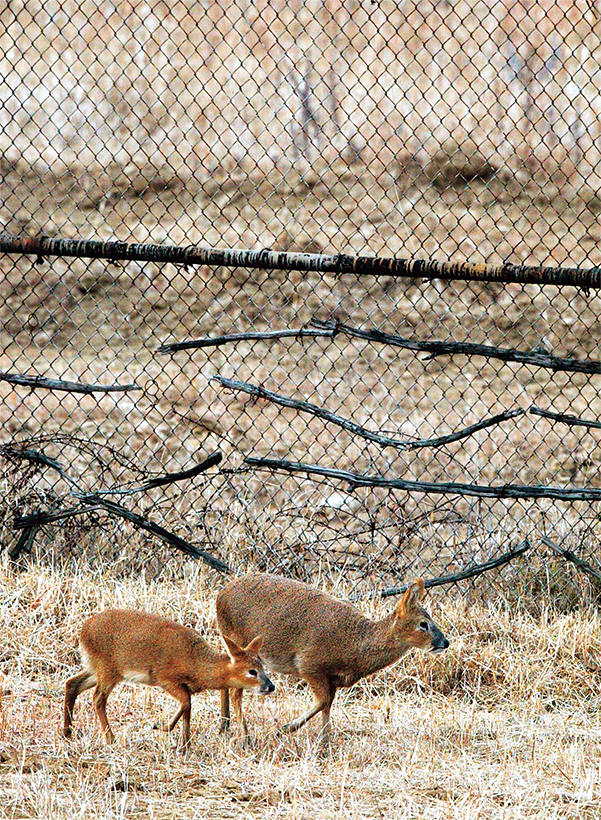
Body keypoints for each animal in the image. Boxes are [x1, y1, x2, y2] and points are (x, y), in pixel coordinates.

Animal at [63, 604, 274, 748]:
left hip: (95, 668)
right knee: (98, 699)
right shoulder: (164, 677)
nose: (270, 686)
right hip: (108, 670)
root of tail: (83, 633)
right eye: (252, 671)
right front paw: (161, 727)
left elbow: (188, 708)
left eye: (262, 666)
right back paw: (110, 738)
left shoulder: (183, 685)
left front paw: (185, 744)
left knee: (72, 684)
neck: (195, 663)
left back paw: (67, 732)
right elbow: (186, 703)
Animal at [216, 572, 446, 748]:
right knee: (236, 692)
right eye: (423, 624)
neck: (354, 647)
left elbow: (327, 705)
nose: (445, 642)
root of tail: (221, 594)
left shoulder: (333, 679)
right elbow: (323, 701)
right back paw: (245, 738)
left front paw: (324, 745)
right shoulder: (310, 665)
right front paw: (285, 729)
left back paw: (224, 726)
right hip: (243, 645)